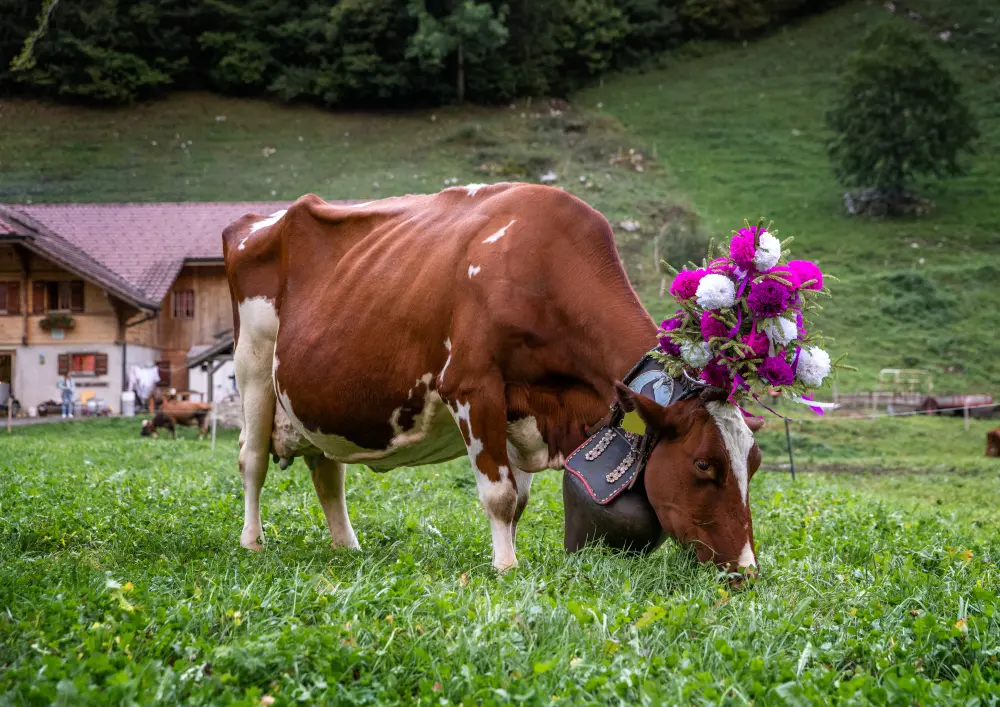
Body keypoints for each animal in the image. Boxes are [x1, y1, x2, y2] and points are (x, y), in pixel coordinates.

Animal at [222, 184, 764, 575]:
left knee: (327, 470)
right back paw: (252, 542)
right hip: (253, 360)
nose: (746, 570)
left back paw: (347, 547)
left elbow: (518, 499)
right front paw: (506, 568)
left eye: (753, 464)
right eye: (704, 465)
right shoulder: (471, 386)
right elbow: (499, 495)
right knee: (251, 460)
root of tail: (258, 220)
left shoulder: (523, 406)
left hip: (316, 401)